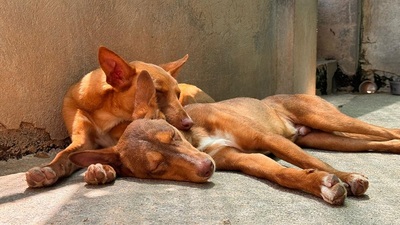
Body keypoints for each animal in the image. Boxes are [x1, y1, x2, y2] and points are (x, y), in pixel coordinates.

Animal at [25, 46, 194, 187]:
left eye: (177, 94)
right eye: (158, 92)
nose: (189, 123)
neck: (106, 114)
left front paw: (103, 168)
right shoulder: (84, 140)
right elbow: (63, 154)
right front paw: (47, 169)